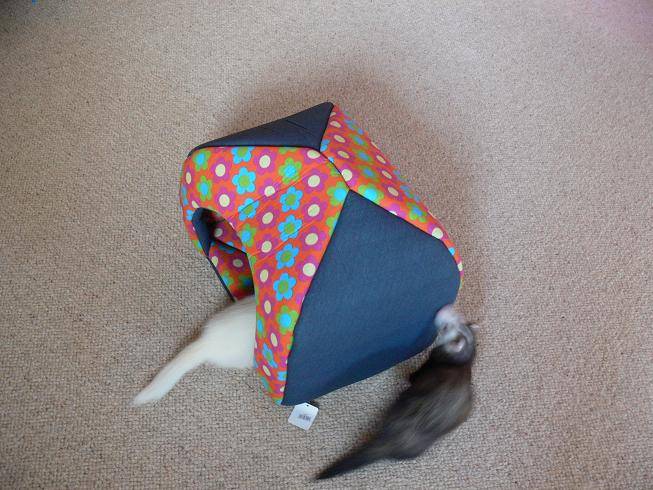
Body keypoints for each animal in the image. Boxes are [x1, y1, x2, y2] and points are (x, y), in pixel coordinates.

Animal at [316, 305, 478, 480]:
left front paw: (410, 376)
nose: (443, 309)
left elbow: (414, 376)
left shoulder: (428, 365)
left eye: (447, 327)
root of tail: (394, 440)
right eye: (458, 317)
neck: (459, 363)